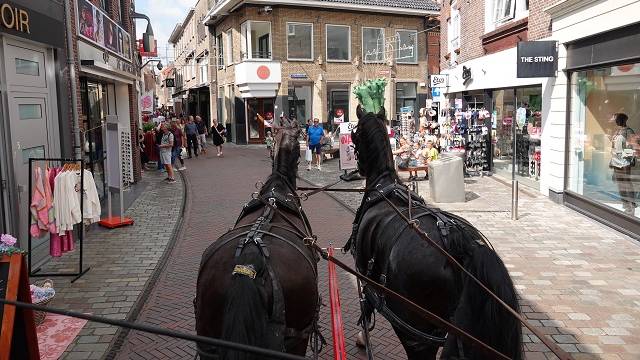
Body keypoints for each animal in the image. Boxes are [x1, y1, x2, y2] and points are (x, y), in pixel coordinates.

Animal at [348, 107, 524, 360]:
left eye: (354, 135)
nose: (356, 170)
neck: (383, 185)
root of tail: (461, 245)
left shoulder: (363, 274)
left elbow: (366, 308)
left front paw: (362, 337)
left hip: (416, 333)